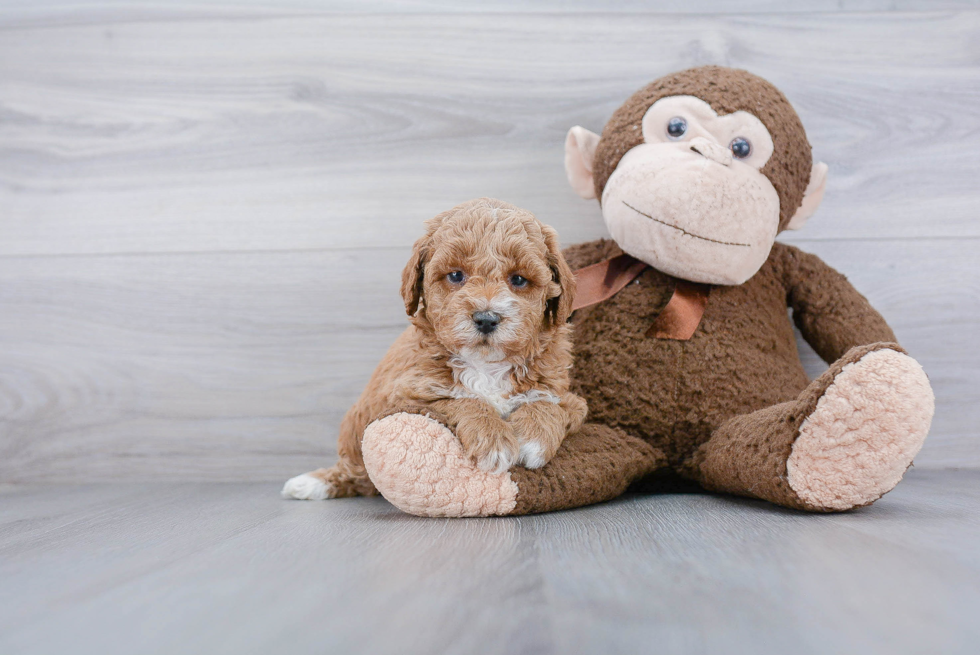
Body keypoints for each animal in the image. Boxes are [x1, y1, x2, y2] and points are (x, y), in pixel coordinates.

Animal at [284, 197, 588, 500]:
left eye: (519, 280)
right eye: (455, 275)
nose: (486, 318)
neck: (486, 365)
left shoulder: (567, 396)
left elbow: (549, 403)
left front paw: (533, 438)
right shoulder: (405, 395)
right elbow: (461, 399)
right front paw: (493, 439)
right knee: (352, 473)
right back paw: (313, 483)